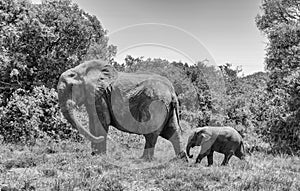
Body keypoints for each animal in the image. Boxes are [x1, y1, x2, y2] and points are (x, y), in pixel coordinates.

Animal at [57, 59, 186, 160]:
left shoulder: (100, 96)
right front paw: (94, 155)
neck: (82, 70)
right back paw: (180, 159)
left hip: (155, 104)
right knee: (172, 131)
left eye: (72, 87)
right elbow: (92, 123)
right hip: (167, 107)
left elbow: (101, 122)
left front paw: (100, 156)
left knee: (151, 132)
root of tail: (172, 92)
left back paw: (144, 160)